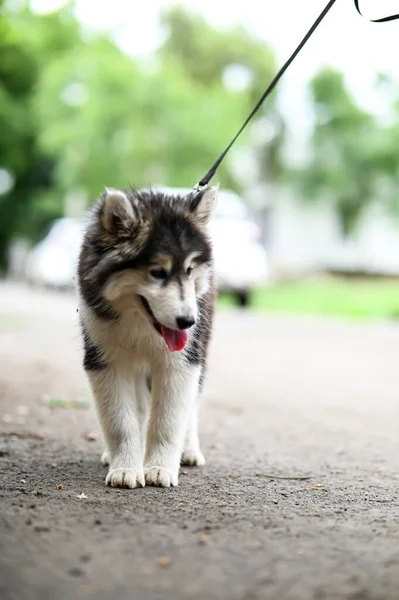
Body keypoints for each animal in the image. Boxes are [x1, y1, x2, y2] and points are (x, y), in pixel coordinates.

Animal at [76, 184, 217, 488]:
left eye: (189, 270)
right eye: (157, 272)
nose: (188, 322)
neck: (141, 323)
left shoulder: (182, 362)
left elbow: (169, 420)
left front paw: (160, 468)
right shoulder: (105, 359)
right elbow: (120, 421)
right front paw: (126, 468)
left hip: (200, 346)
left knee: (191, 404)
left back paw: (189, 449)